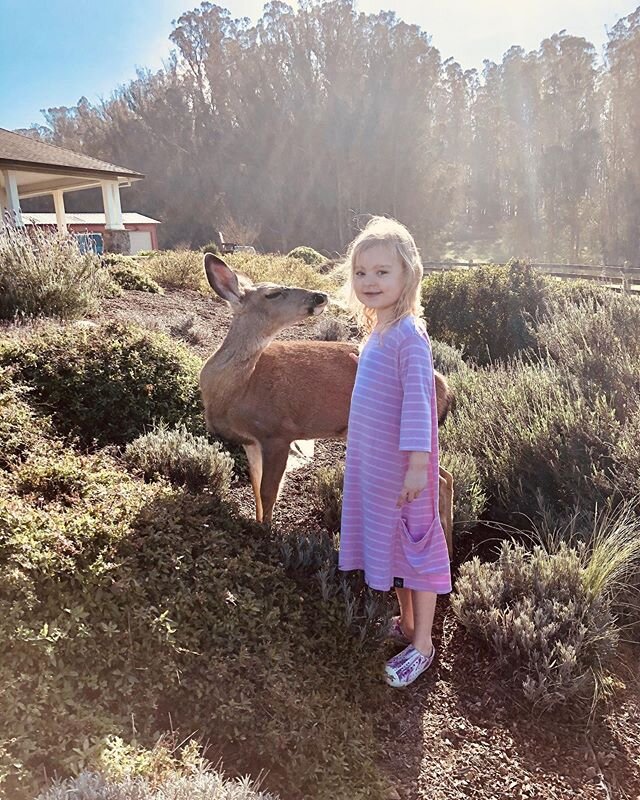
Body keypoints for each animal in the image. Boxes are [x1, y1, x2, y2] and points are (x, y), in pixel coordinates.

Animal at [200, 255, 456, 556]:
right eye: (272, 293)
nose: (320, 296)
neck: (234, 391)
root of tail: (445, 388)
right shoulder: (251, 441)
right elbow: (256, 487)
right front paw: (256, 523)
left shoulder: (279, 431)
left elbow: (268, 490)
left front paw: (265, 534)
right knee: (447, 477)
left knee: (438, 481)